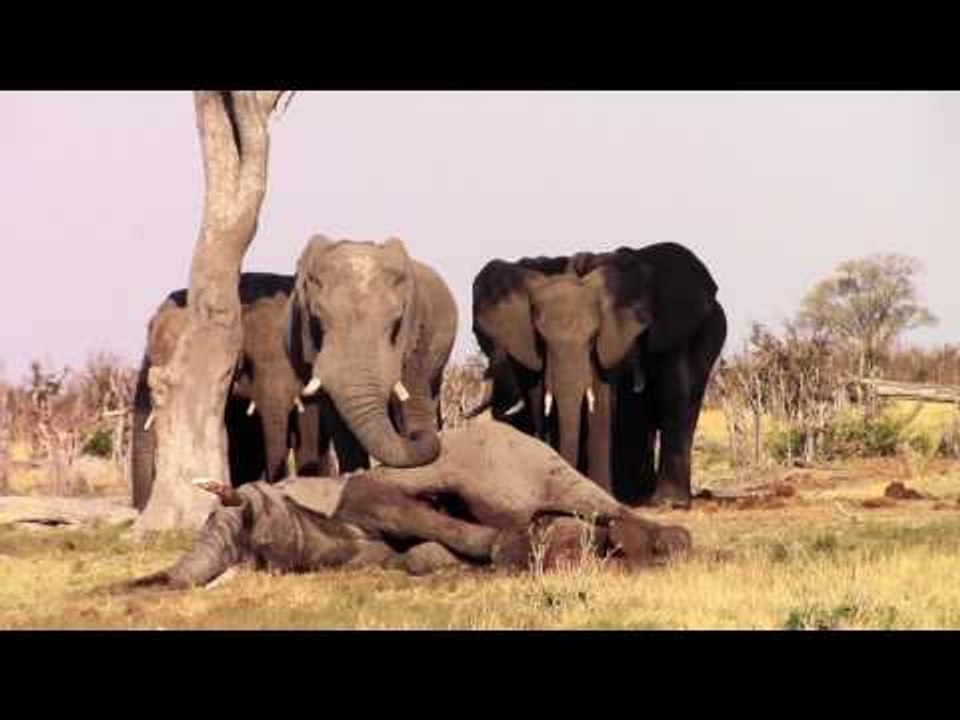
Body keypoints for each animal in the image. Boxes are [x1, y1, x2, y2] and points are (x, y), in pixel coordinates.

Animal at [122, 419, 693, 589]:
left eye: (246, 521)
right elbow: (416, 556)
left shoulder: (360, 491)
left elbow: (386, 501)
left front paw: (510, 550)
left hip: (522, 457)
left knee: (595, 503)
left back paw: (659, 542)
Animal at [283, 234, 458, 471]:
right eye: (317, 317)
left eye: (396, 320)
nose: (417, 435)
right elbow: (337, 419)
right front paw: (355, 472)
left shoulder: (418, 332)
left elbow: (410, 393)